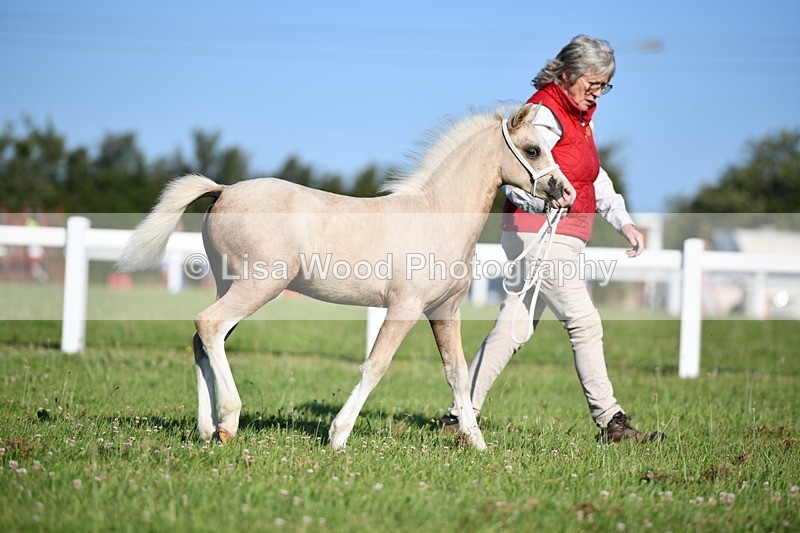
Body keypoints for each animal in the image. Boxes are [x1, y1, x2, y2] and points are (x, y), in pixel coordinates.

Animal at [117, 103, 574, 450]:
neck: (437, 215)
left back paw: (206, 428)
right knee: (208, 326)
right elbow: (376, 366)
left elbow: (459, 374)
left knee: (201, 341)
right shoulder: (405, 308)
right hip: (257, 287)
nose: (565, 193)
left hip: (229, 285)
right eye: (533, 149)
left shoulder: (444, 311)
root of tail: (224, 190)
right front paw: (338, 436)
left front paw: (477, 443)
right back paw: (228, 422)